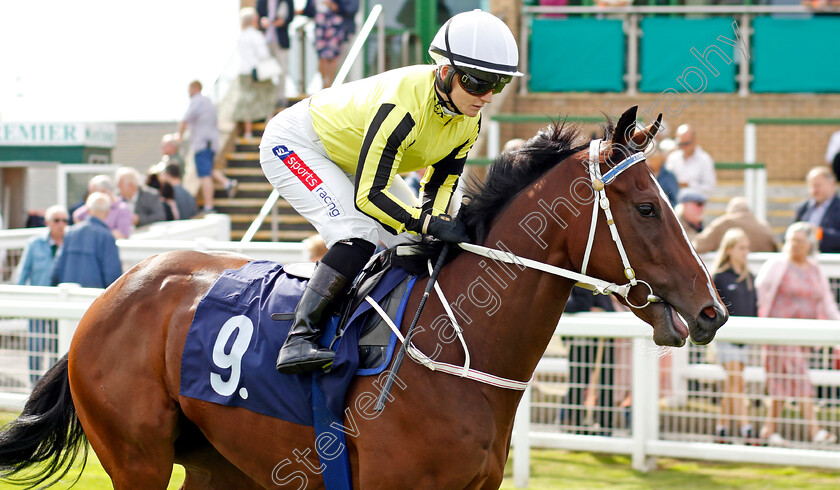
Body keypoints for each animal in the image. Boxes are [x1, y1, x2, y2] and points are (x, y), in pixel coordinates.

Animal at [0, 105, 720, 488]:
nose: (712, 310)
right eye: (649, 208)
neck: (453, 351)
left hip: (219, 463)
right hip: (136, 459)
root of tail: (110, 295)